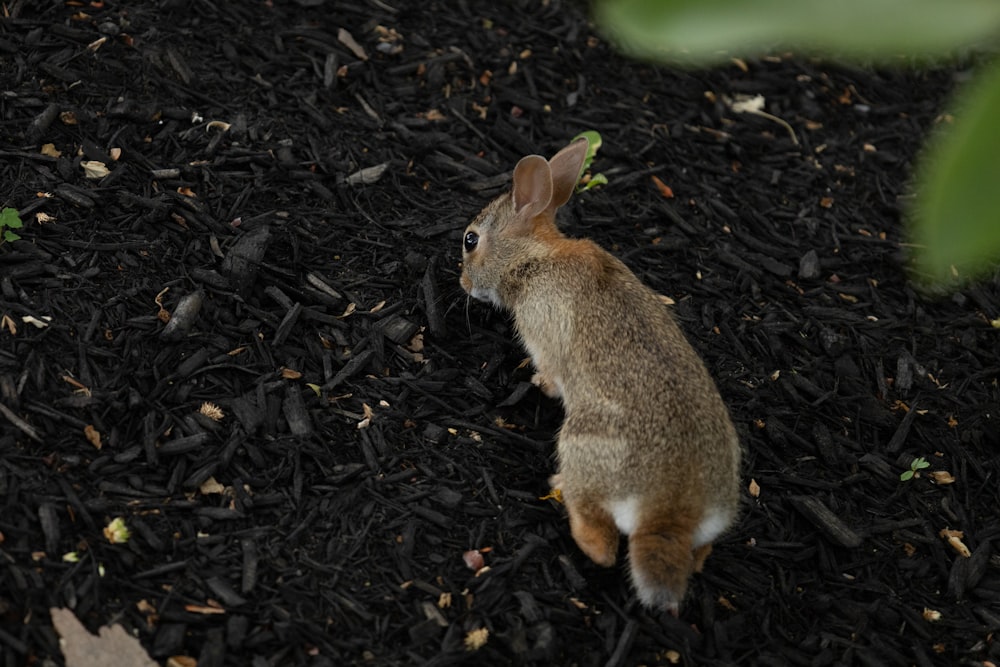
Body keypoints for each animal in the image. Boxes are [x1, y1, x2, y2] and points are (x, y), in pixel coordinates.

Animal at [460, 140, 744, 616]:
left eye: (471, 239)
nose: (462, 282)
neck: (533, 258)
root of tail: (668, 511)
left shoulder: (543, 335)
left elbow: (551, 371)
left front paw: (539, 383)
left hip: (582, 444)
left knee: (600, 543)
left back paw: (560, 489)